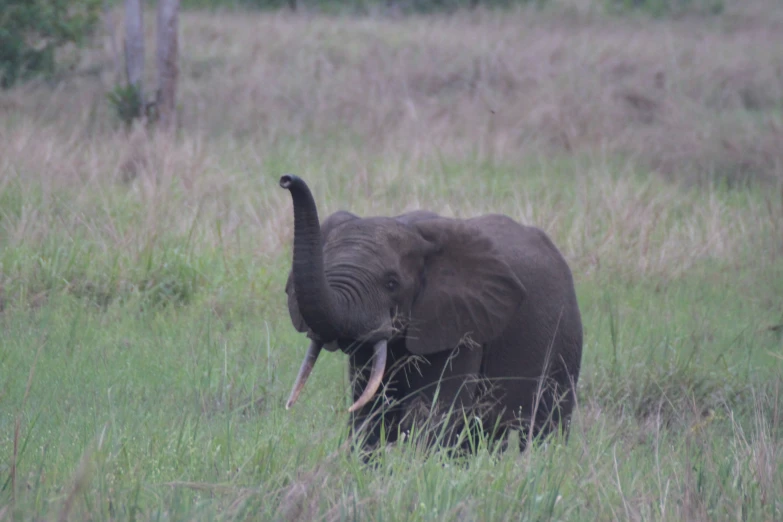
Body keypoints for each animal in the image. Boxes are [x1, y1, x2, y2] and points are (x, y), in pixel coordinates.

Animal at [278, 175, 580, 450]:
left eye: (392, 283)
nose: (286, 180)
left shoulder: (460, 325)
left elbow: (433, 414)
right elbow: (371, 412)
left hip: (564, 341)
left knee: (546, 425)